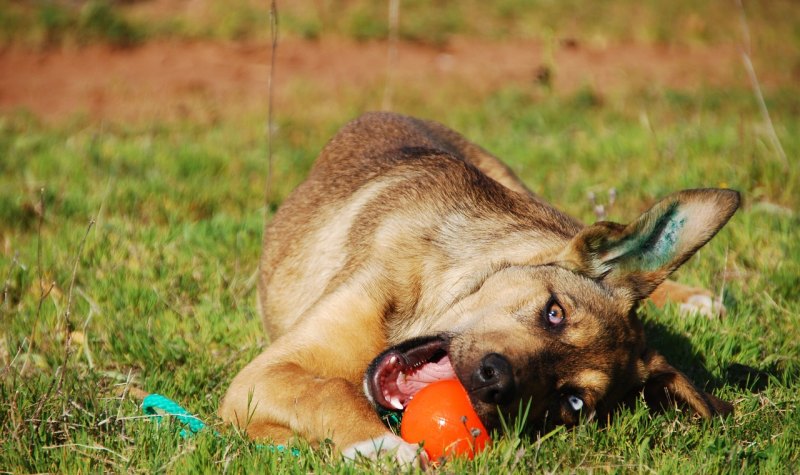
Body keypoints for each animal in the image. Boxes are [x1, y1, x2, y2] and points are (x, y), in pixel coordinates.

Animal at [217, 110, 736, 464]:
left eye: (572, 403)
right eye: (554, 312)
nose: (495, 380)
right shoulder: (262, 376)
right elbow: (326, 391)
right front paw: (384, 447)